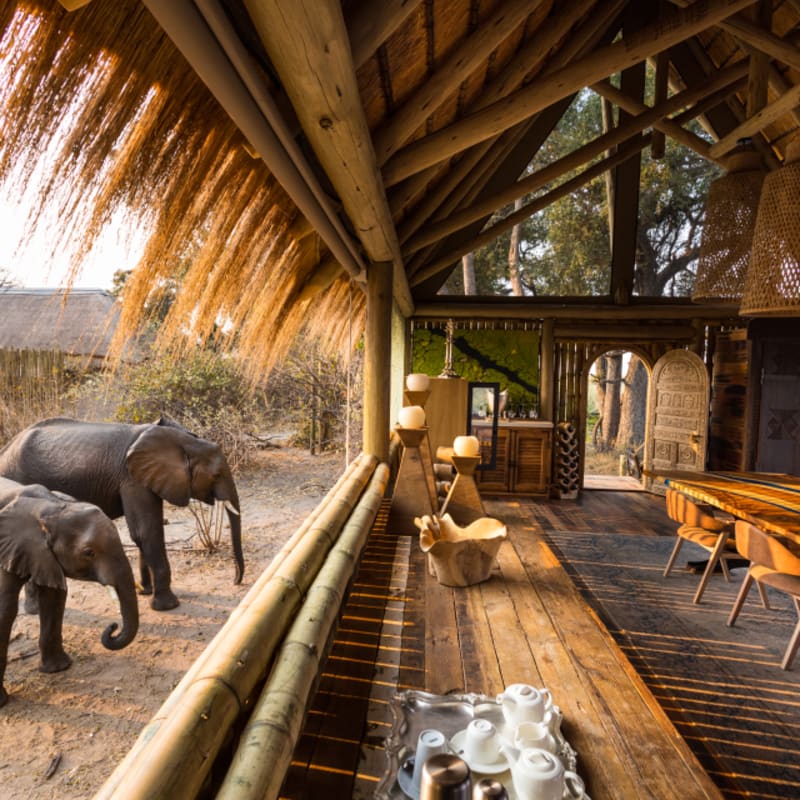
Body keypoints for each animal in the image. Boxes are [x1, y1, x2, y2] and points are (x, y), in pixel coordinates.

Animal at [0, 416, 243, 610]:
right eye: (216, 474)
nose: (235, 581)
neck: (180, 441)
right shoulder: (130, 478)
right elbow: (146, 531)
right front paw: (168, 606)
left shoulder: (146, 477)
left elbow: (146, 531)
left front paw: (145, 592)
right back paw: (34, 610)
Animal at [0, 477, 139, 707]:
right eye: (88, 552)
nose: (113, 626)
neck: (48, 506)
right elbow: (5, 609)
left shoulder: (40, 555)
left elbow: (54, 597)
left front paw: (59, 669)